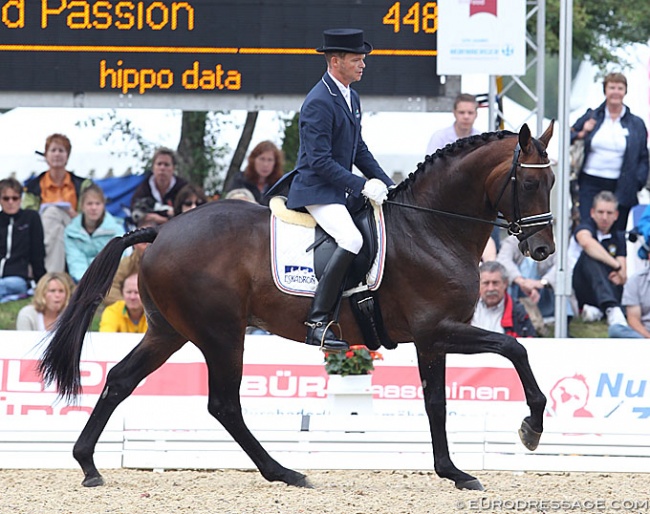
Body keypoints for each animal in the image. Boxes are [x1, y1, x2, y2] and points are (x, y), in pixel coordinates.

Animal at [40, 122, 556, 490]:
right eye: (530, 185)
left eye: (553, 181)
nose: (543, 250)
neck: (432, 229)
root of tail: (160, 230)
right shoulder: (438, 329)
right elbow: (512, 351)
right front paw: (528, 429)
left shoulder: (434, 338)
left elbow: (438, 401)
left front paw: (454, 470)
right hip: (220, 334)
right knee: (223, 404)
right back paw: (284, 472)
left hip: (168, 331)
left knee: (120, 380)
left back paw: (88, 465)